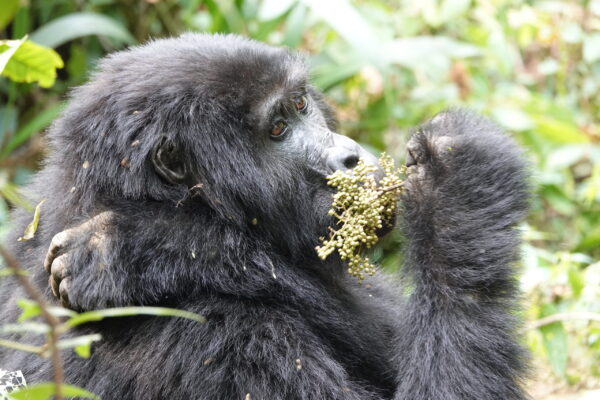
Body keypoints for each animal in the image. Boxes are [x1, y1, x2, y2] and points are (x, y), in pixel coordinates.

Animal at [0, 35, 528, 400]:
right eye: (277, 129)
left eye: (301, 103)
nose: (350, 157)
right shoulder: (222, 340)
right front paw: (459, 186)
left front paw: (130, 247)